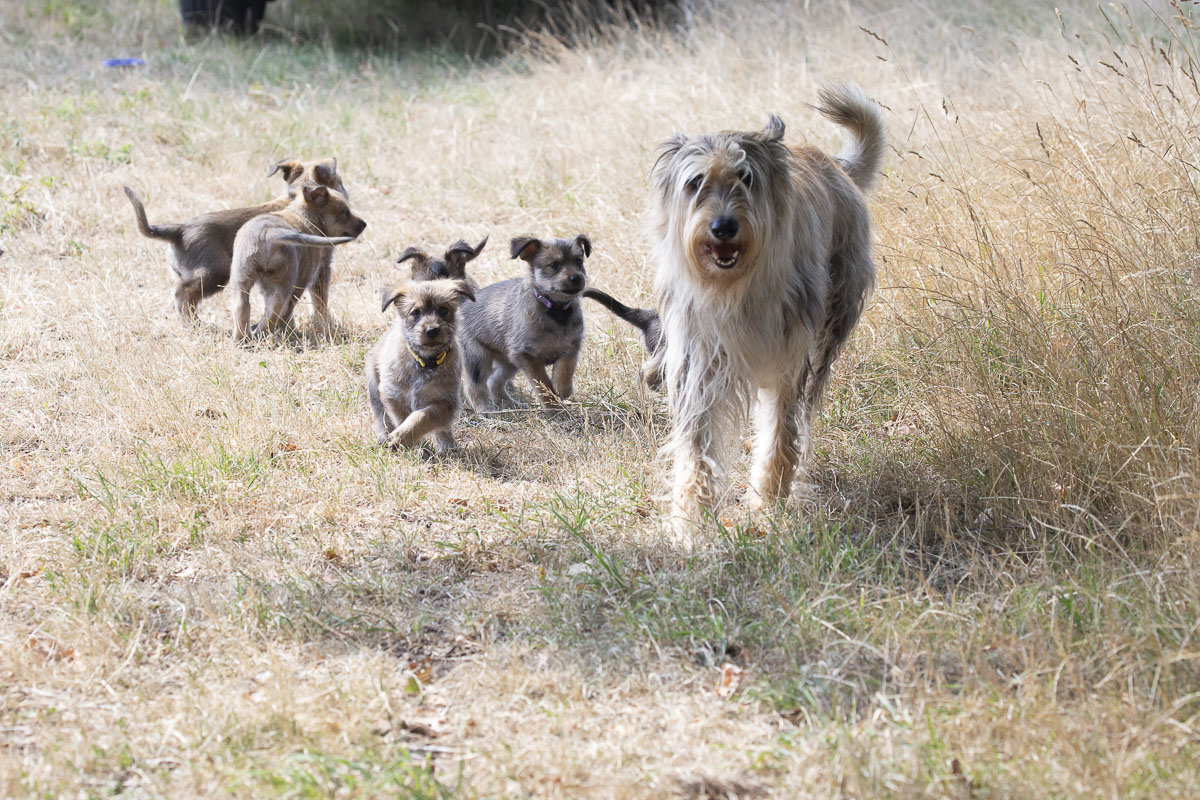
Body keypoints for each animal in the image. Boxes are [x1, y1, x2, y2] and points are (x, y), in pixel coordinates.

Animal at [123, 155, 345, 321]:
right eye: (341, 183)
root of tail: (179, 230)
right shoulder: (321, 267)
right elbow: (319, 301)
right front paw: (323, 322)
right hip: (216, 271)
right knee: (183, 294)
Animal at [225, 184, 364, 340]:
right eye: (345, 211)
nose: (364, 224)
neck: (304, 217)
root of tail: (269, 232)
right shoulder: (305, 279)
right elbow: (297, 309)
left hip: (241, 279)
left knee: (243, 308)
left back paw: (243, 339)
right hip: (283, 284)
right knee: (272, 316)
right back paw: (270, 336)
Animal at [364, 278, 477, 453]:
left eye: (443, 310)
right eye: (416, 312)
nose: (432, 330)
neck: (425, 362)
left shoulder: (445, 401)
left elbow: (423, 417)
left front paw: (404, 437)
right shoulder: (394, 396)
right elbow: (403, 418)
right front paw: (411, 444)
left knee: (443, 429)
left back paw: (448, 447)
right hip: (374, 387)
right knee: (381, 417)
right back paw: (384, 438)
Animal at [458, 235, 590, 410]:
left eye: (579, 261)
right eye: (554, 265)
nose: (577, 278)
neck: (555, 309)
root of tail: (462, 305)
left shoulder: (571, 347)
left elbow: (565, 370)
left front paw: (562, 389)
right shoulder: (527, 357)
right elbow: (543, 384)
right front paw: (553, 407)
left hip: (508, 362)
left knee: (494, 381)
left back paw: (509, 403)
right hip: (478, 358)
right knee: (474, 386)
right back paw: (485, 410)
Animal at [652, 84, 888, 542]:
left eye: (746, 178)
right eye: (696, 182)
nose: (724, 226)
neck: (738, 288)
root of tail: (835, 164)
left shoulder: (790, 359)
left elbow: (781, 431)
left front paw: (768, 500)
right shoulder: (699, 360)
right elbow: (696, 448)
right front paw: (692, 521)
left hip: (829, 332)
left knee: (805, 414)